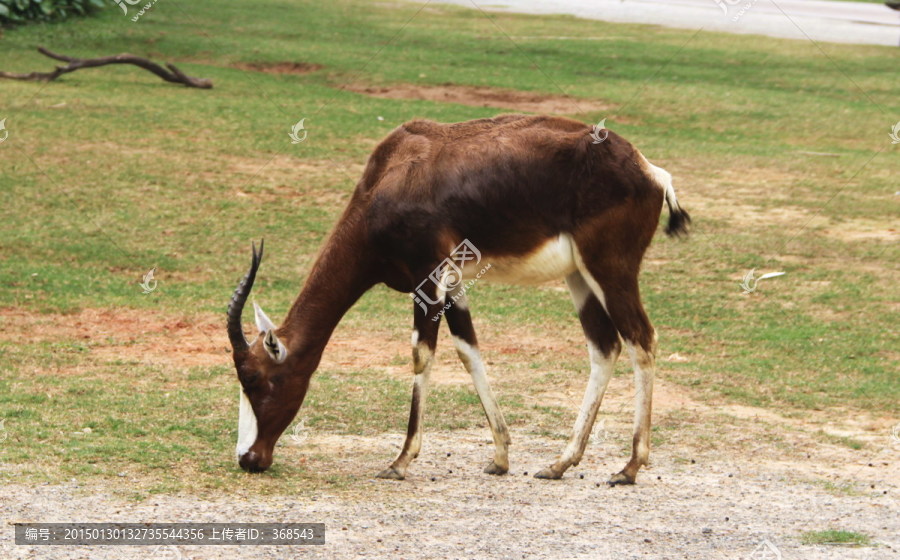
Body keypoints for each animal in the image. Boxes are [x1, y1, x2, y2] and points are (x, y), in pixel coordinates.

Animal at [229, 112, 692, 486]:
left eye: (255, 378)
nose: (249, 459)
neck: (397, 170)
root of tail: (651, 171)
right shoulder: (453, 285)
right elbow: (469, 350)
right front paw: (500, 458)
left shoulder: (428, 279)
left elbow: (422, 355)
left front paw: (399, 462)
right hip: (579, 276)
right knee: (605, 346)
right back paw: (560, 464)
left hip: (610, 271)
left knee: (641, 340)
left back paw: (628, 468)